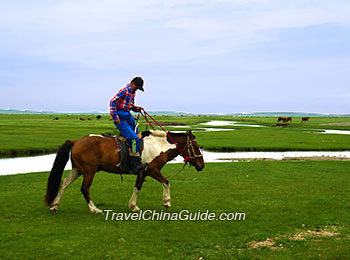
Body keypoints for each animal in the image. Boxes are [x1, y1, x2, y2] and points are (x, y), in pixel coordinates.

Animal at [45, 129, 205, 213]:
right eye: (196, 147)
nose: (201, 165)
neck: (157, 146)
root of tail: (76, 141)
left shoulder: (142, 173)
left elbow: (137, 188)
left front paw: (133, 206)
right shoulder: (152, 170)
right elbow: (166, 182)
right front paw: (166, 203)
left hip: (78, 170)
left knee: (64, 183)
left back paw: (55, 205)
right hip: (89, 171)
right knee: (84, 188)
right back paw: (94, 209)